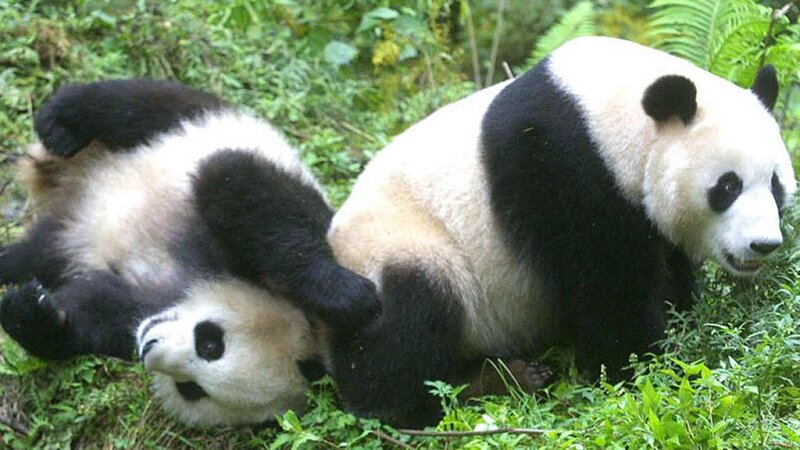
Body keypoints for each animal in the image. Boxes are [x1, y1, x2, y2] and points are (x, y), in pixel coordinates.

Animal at [0, 79, 375, 425]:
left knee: (34, 255)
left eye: (192, 389)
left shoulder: (137, 310)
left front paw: (34, 313)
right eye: (211, 343)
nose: (148, 348)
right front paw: (349, 296)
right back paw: (62, 122)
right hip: (184, 126)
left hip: (60, 241)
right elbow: (238, 184)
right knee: (139, 104)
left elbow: (89, 314)